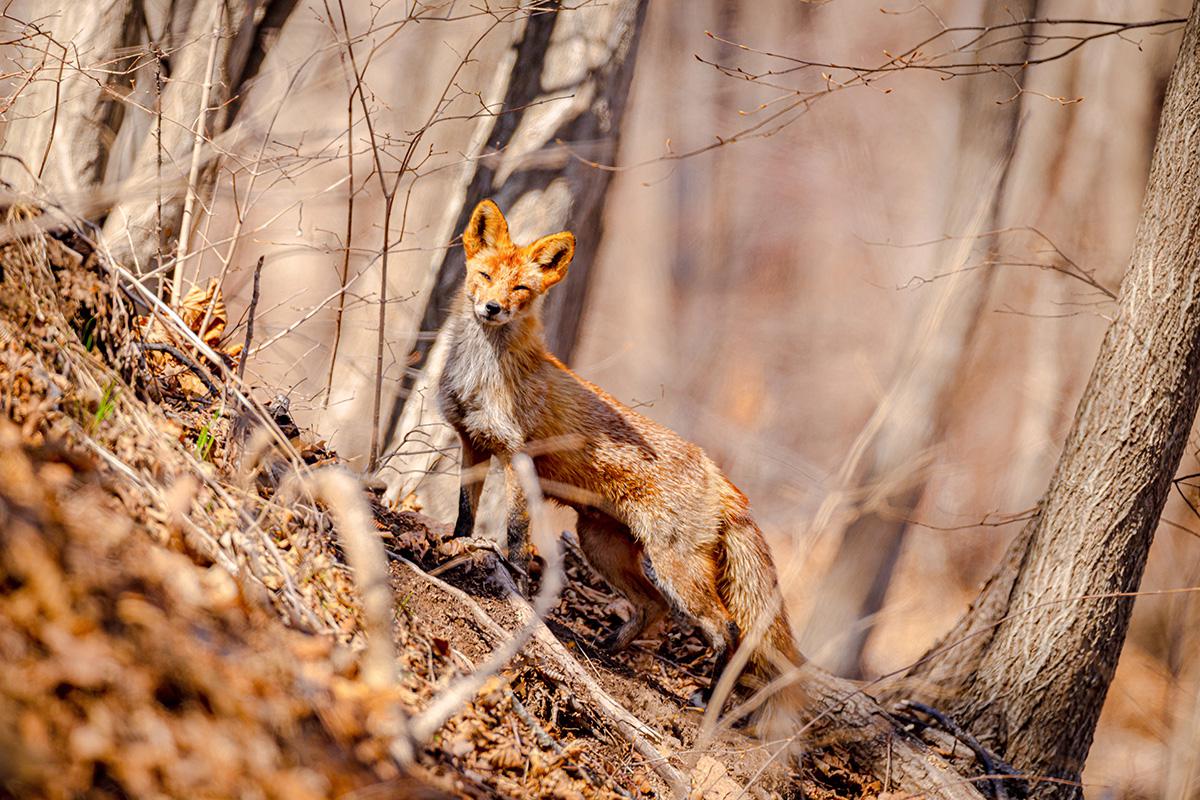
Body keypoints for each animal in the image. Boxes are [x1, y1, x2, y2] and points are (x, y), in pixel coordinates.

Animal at [438, 199, 806, 712]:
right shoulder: (472, 442)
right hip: (602, 546)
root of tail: (723, 480)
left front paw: (514, 578)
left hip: (674, 570)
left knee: (726, 628)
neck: (484, 376)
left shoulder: (517, 457)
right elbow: (465, 512)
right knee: (655, 608)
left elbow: (514, 534)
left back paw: (706, 700)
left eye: (521, 289)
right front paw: (456, 545)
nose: (493, 308)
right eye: (485, 275)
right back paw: (605, 648)